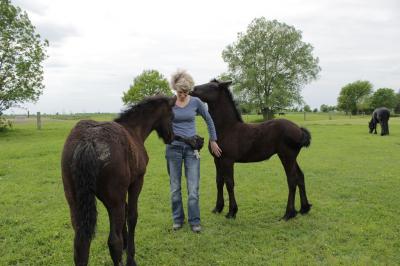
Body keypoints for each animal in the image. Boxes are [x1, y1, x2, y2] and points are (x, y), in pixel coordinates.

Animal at [61, 96, 173, 266]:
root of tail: (88, 141)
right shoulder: (136, 182)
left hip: (75, 201)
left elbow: (126, 214)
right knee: (114, 241)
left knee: (81, 243)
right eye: (172, 116)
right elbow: (132, 216)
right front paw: (131, 257)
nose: (171, 137)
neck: (134, 131)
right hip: (115, 200)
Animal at [191, 79, 312, 220]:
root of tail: (299, 130)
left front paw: (232, 212)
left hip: (286, 156)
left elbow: (229, 183)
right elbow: (219, 182)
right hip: (292, 158)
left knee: (292, 180)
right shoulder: (217, 159)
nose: (192, 89)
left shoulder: (227, 160)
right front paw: (218, 208)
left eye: (212, 87)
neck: (227, 128)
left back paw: (288, 214)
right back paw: (304, 208)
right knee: (300, 177)